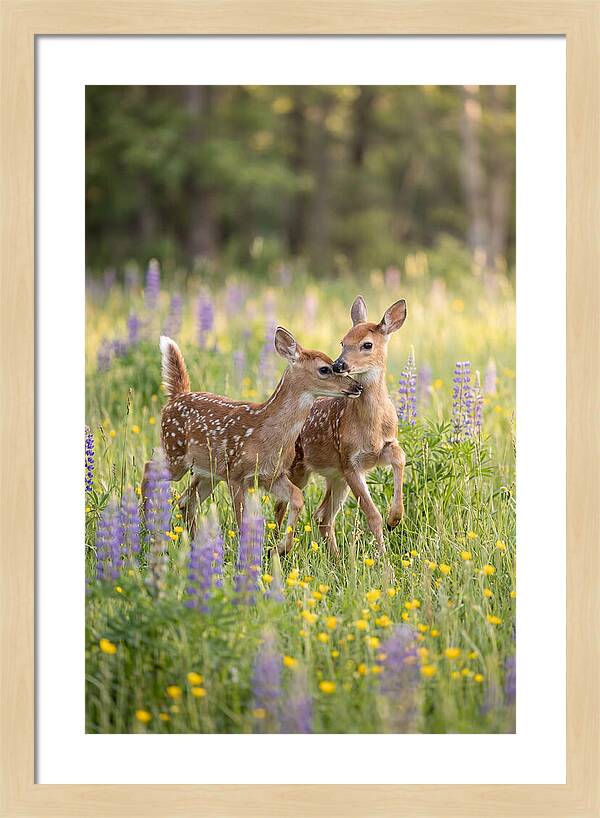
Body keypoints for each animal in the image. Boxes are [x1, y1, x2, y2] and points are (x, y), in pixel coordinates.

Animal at [141, 330, 363, 554]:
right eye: (325, 369)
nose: (357, 386)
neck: (266, 434)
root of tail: (177, 396)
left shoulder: (271, 475)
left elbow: (297, 498)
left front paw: (279, 549)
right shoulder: (237, 475)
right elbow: (242, 521)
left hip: (208, 472)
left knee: (186, 501)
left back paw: (195, 545)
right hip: (175, 452)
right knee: (150, 467)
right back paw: (145, 524)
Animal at [274, 296, 407, 557]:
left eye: (367, 345)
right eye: (342, 342)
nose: (339, 364)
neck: (372, 426)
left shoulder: (382, 448)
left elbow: (400, 457)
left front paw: (395, 518)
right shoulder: (349, 461)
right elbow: (372, 515)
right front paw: (383, 557)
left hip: (335, 477)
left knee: (322, 515)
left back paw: (335, 558)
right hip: (298, 468)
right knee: (281, 507)